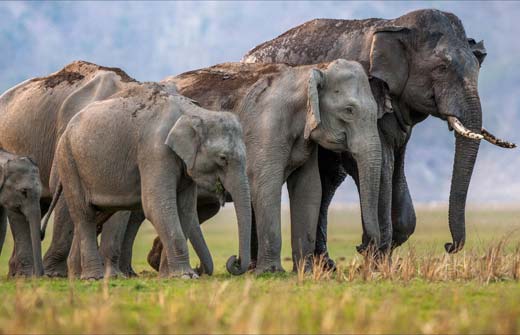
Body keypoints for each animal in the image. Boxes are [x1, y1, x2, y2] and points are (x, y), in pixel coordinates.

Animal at [44, 82, 252, 280]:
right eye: (223, 158)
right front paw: (185, 276)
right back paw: (92, 278)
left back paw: (77, 276)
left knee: (97, 215)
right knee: (84, 214)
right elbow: (158, 206)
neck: (194, 112)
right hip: (68, 161)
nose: (234, 259)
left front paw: (170, 277)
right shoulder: (155, 151)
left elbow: (184, 209)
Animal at [144, 59, 380, 276]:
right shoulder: (267, 128)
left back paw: (159, 263)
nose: (361, 246)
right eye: (349, 110)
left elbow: (309, 190)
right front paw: (271, 272)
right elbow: (265, 186)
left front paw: (306, 273)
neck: (309, 71)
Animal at [244, 8, 516, 266]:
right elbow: (381, 164)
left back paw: (326, 265)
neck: (397, 26)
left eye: (478, 68)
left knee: (329, 178)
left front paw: (380, 255)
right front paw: (375, 258)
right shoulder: (367, 93)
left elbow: (396, 166)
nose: (448, 246)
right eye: (441, 68)